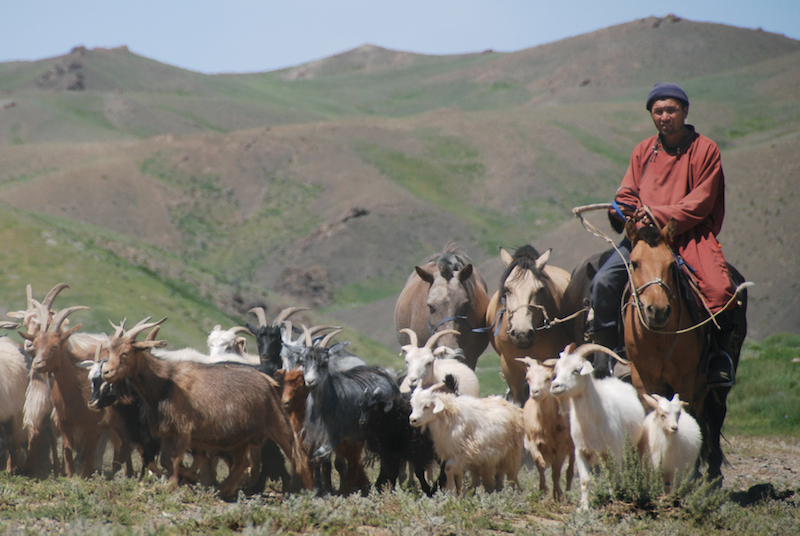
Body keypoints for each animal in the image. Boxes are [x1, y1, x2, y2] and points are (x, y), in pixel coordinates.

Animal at [101, 318, 312, 498]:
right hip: (241, 436)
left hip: (277, 423)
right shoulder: (166, 432)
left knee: (298, 458)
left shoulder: (184, 429)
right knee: (241, 462)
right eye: (109, 352)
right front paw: (184, 478)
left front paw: (175, 483)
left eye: (126, 353)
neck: (165, 382)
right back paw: (225, 489)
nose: (106, 372)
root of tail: (268, 380)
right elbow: (166, 460)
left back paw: (309, 493)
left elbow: (173, 459)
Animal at [520, 358, 576, 500]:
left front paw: (557, 495)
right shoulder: (533, 442)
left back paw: (568, 490)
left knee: (570, 466)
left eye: (548, 378)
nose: (535, 392)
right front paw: (543, 491)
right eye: (528, 378)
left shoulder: (561, 445)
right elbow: (540, 465)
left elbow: (556, 471)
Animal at [552, 346, 644, 508]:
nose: (555, 386)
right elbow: (584, 481)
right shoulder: (581, 451)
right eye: (557, 369)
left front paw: (615, 500)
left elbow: (614, 477)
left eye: (576, 370)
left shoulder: (613, 451)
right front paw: (583, 507)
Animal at [620, 218, 748, 482]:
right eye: (634, 263)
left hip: (717, 378)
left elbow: (689, 416)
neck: (659, 338)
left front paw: (687, 472)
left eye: (670, 264)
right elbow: (651, 413)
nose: (657, 311)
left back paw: (711, 474)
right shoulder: (644, 379)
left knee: (714, 414)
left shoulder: (686, 379)